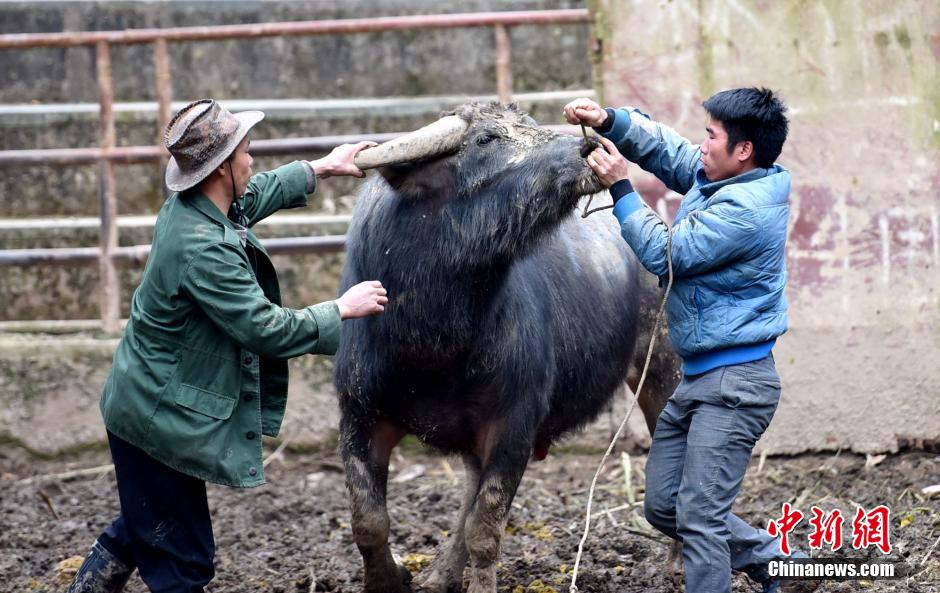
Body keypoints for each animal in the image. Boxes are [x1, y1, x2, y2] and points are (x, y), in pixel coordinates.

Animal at [333, 102, 680, 593]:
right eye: (485, 140)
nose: (588, 147)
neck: (432, 336)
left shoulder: (512, 426)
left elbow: (485, 528)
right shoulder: (360, 414)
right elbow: (368, 520)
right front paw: (389, 579)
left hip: (664, 370)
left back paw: (677, 563)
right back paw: (440, 574)